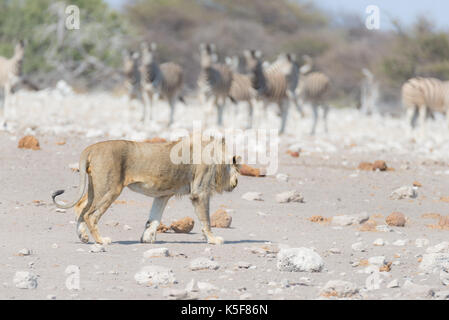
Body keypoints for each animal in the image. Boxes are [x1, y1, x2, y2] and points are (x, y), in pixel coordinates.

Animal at [51, 137, 242, 245]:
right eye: (235, 166)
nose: (237, 182)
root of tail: (91, 148)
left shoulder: (163, 195)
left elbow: (154, 219)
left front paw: (147, 238)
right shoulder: (199, 193)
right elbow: (206, 221)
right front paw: (213, 240)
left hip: (96, 188)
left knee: (81, 208)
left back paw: (83, 237)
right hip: (110, 189)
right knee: (90, 215)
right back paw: (101, 241)